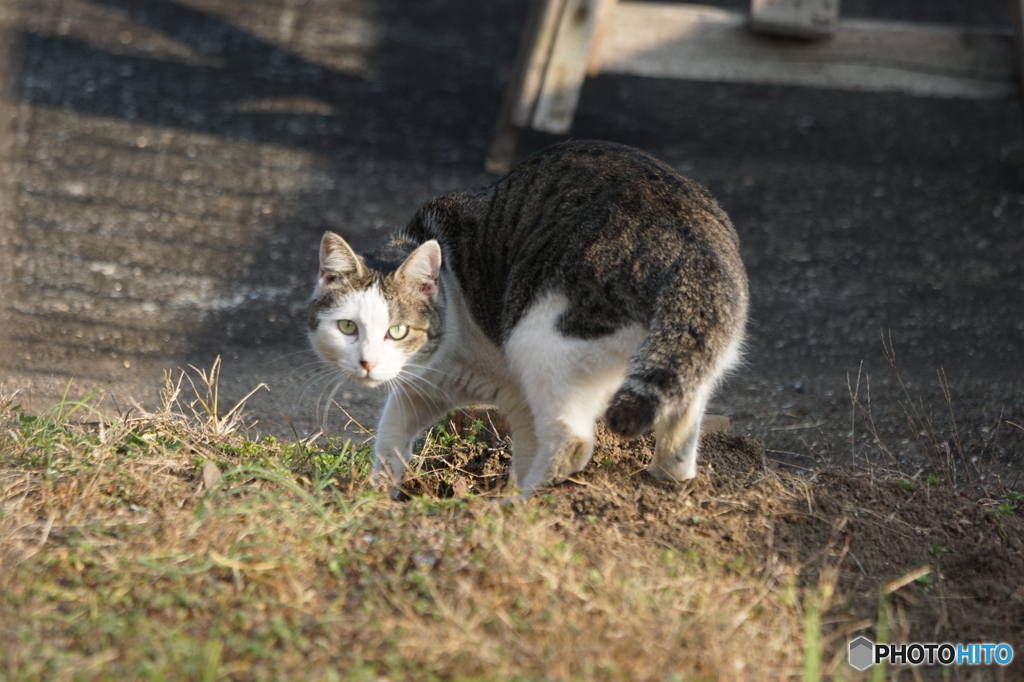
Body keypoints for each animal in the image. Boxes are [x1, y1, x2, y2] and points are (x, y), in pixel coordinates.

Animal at [307, 142, 749, 493]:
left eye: (397, 331)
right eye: (347, 327)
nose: (367, 363)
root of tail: (692, 242)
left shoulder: (516, 398)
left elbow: (525, 454)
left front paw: (511, 495)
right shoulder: (422, 389)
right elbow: (390, 438)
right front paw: (377, 496)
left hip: (543, 341)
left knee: (572, 442)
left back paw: (522, 505)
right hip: (689, 359)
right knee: (681, 425)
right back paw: (664, 480)